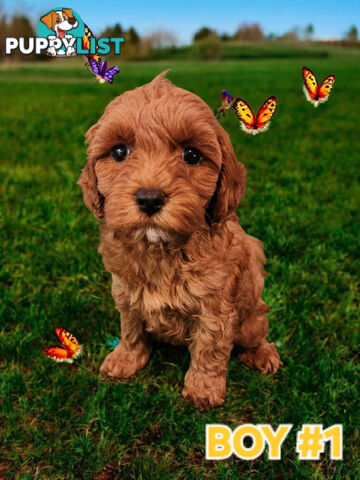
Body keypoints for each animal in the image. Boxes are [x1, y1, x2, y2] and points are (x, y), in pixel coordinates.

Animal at [78, 72, 282, 412]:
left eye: (192, 155)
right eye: (119, 152)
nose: (149, 198)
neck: (162, 249)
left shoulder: (216, 307)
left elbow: (210, 349)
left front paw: (202, 389)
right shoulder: (125, 290)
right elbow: (130, 328)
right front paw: (126, 358)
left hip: (251, 317)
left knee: (255, 333)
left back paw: (263, 353)